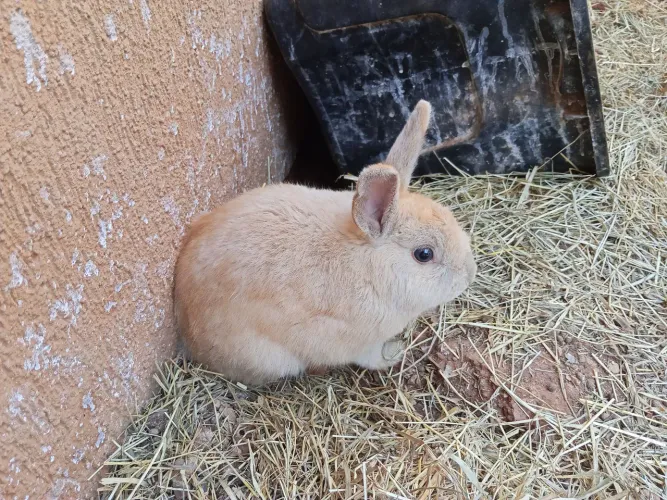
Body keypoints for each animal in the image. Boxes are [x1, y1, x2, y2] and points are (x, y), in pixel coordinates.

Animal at [174, 100, 476, 385]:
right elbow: (372, 358)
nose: (469, 275)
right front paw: (395, 354)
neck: (370, 269)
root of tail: (187, 331)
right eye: (424, 254)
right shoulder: (359, 343)